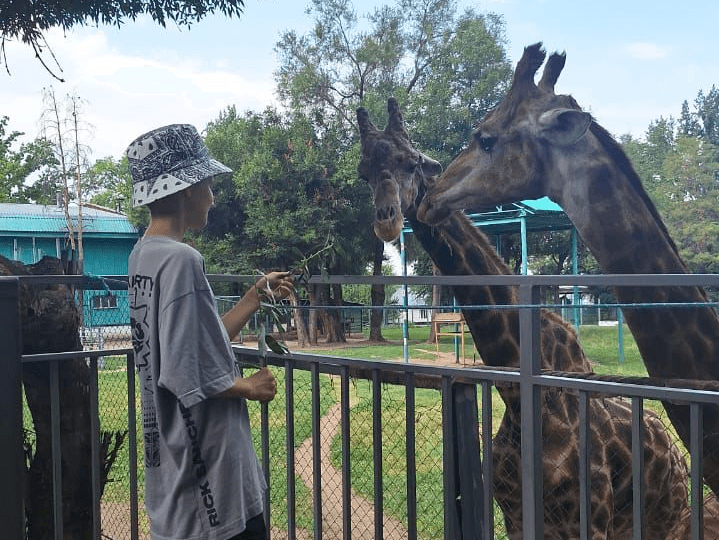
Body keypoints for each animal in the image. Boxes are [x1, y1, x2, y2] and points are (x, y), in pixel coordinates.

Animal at [358, 98, 692, 540]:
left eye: (411, 162)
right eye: (364, 170)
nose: (387, 220)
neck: (518, 400)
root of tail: (677, 457)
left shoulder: (589, 522)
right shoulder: (515, 515)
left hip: (664, 522)